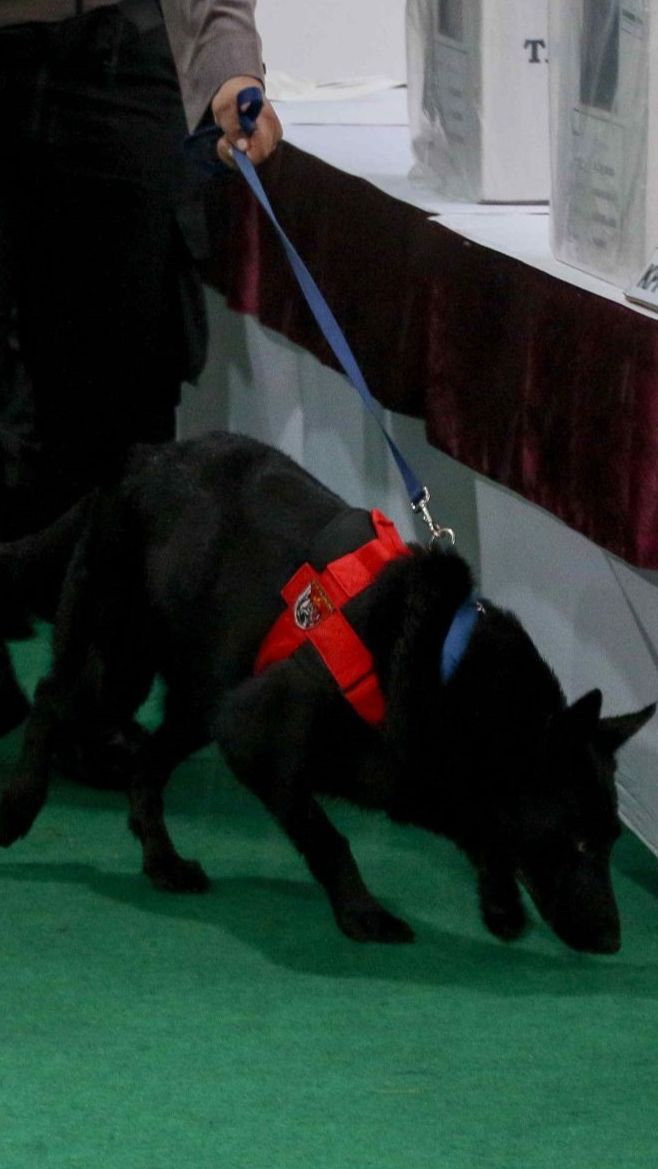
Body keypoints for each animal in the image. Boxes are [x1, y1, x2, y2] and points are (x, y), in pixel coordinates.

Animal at [0, 430, 654, 949]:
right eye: (576, 844)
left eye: (611, 841)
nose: (611, 941)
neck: (446, 680)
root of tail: (142, 457)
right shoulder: (255, 739)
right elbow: (330, 838)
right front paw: (363, 912)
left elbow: (480, 831)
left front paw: (500, 901)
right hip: (119, 660)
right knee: (51, 699)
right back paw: (22, 802)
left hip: (199, 698)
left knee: (146, 763)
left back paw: (163, 860)